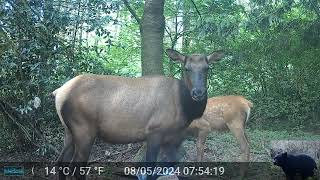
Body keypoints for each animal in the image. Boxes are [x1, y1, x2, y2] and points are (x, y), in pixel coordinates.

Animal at [52, 48, 224, 179]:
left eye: (207, 68)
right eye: (186, 68)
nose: (198, 92)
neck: (185, 110)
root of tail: (58, 92)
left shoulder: (174, 137)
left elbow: (171, 163)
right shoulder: (155, 131)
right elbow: (151, 168)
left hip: (68, 130)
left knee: (61, 162)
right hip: (84, 129)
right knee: (76, 166)